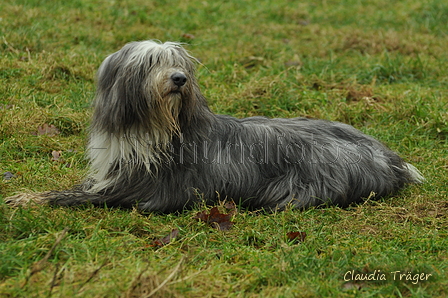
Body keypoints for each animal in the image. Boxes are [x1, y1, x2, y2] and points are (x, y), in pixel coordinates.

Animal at [6, 40, 424, 212]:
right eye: (151, 62)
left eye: (180, 64)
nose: (178, 79)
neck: (158, 125)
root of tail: (391, 159)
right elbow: (75, 188)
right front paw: (27, 194)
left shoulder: (144, 190)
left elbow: (72, 196)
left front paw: (26, 198)